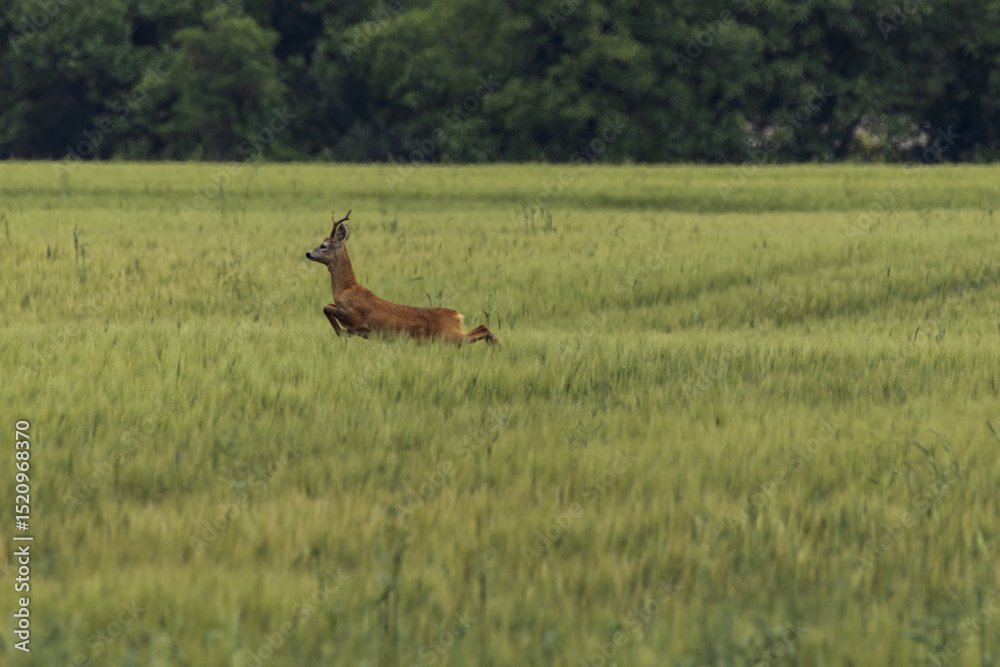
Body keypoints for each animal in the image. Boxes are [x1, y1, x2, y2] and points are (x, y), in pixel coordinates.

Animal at [306, 210, 501, 348]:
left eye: (323, 245)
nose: (308, 253)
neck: (346, 289)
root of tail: (457, 315)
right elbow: (327, 306)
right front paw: (343, 332)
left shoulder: (354, 316)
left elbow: (326, 307)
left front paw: (342, 332)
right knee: (483, 329)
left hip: (449, 337)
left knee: (481, 330)